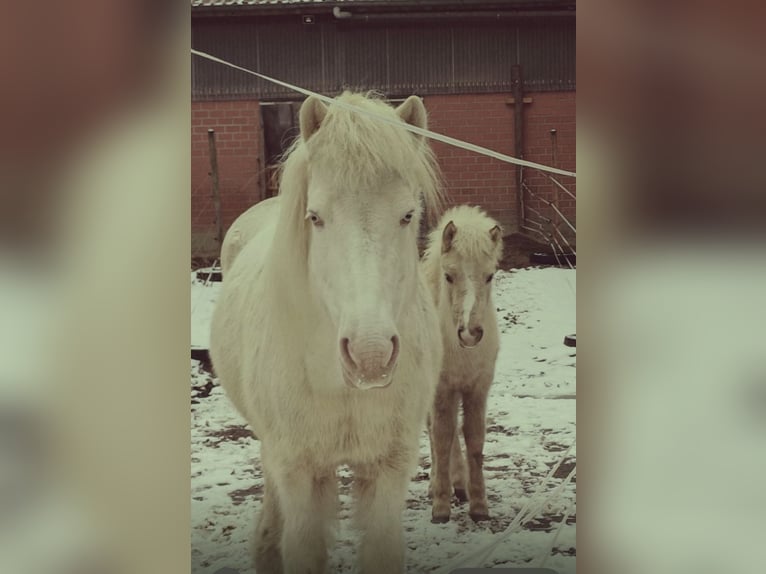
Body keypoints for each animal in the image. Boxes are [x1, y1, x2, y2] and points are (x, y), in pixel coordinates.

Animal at [421, 205, 503, 523]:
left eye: (490, 275)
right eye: (449, 276)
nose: (470, 333)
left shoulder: (477, 390)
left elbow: (475, 440)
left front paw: (479, 505)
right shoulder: (441, 391)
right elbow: (442, 439)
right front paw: (440, 507)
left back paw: (460, 484)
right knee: (435, 433)